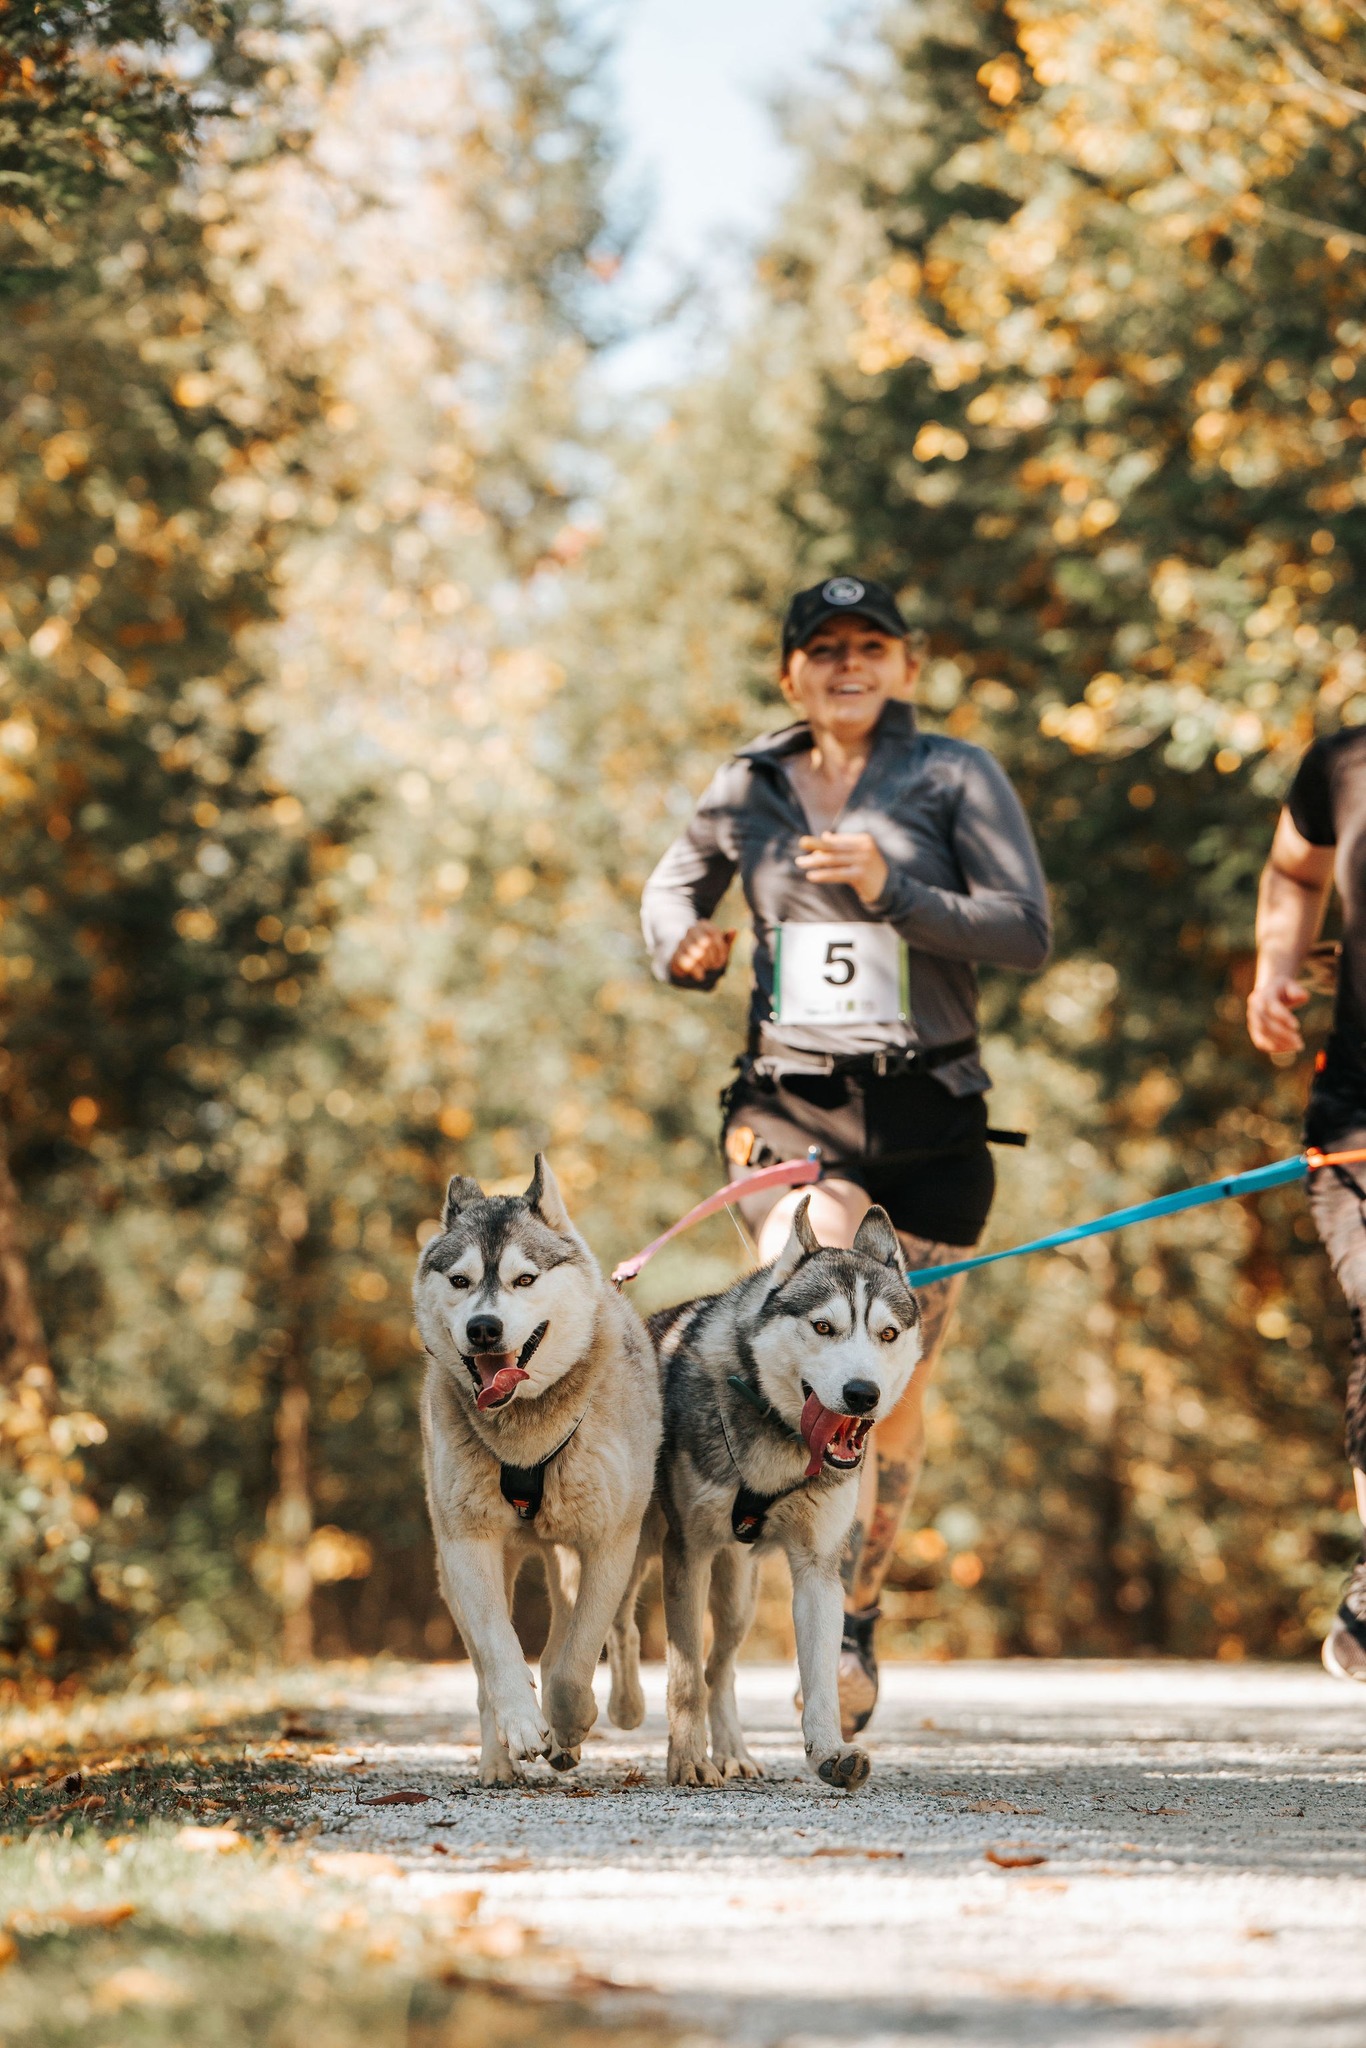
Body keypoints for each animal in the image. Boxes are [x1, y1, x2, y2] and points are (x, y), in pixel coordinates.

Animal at [414, 1155, 661, 1784]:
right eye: (460, 1281)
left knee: (568, 1646)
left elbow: (575, 1661)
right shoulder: (468, 1542)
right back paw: (497, 1760)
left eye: (524, 1280)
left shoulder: (607, 1543)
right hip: (459, 1569)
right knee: (485, 1670)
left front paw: (569, 1723)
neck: (526, 1440)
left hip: (571, 1556)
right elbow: (499, 1650)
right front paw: (524, 1726)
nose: (483, 1328)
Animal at [610, 1195, 922, 1791]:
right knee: (615, 1628)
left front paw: (829, 1752)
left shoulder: (818, 1569)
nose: (862, 1394)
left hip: (737, 1600)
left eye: (888, 1334)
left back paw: (732, 1752)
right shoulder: (687, 1554)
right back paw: (614, 1711)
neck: (778, 1435)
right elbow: (683, 1676)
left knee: (721, 1667)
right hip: (630, 1556)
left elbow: (818, 1680)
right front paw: (688, 1759)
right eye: (823, 1326)